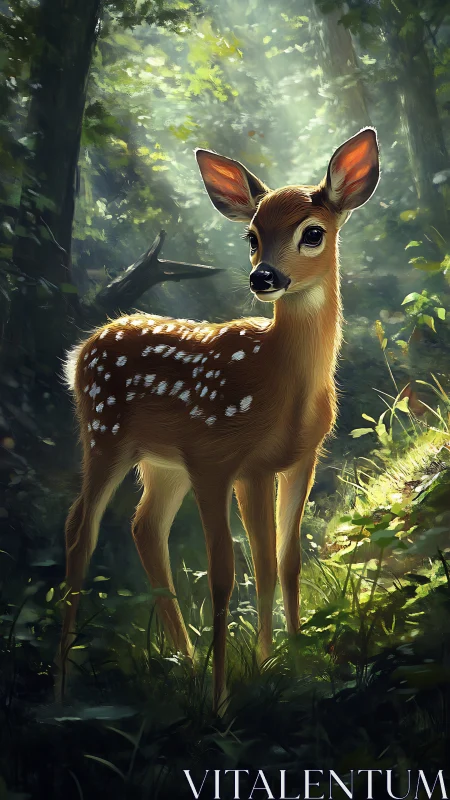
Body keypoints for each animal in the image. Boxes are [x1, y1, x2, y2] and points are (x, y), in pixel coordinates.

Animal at [60, 127, 380, 711]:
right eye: (251, 236)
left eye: (313, 232)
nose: (263, 277)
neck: (281, 384)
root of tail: (83, 347)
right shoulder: (219, 457)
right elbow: (226, 575)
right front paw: (224, 700)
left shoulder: (295, 460)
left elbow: (281, 562)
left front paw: (289, 667)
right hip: (104, 435)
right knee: (80, 529)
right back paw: (60, 687)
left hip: (161, 463)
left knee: (144, 527)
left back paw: (184, 662)